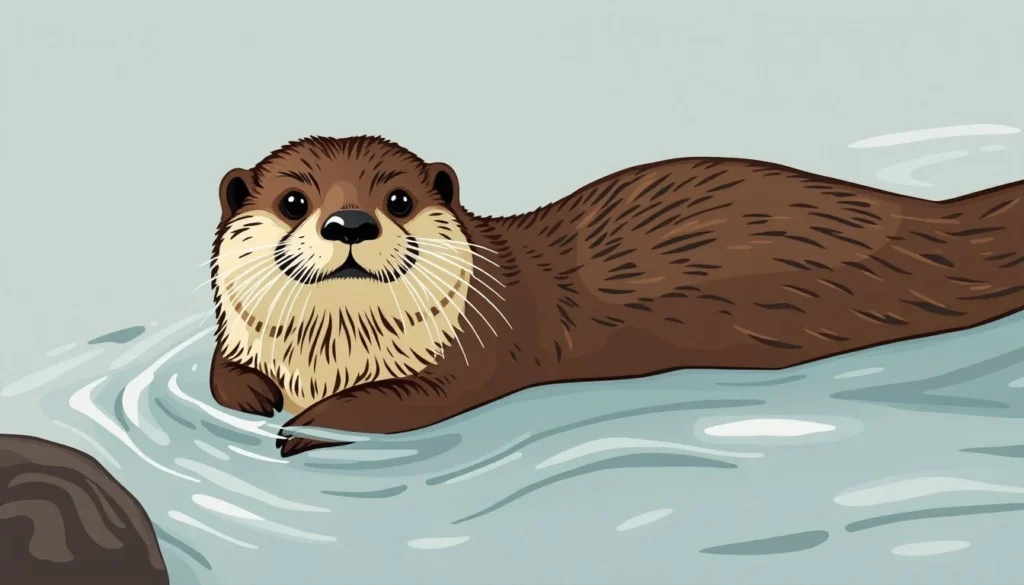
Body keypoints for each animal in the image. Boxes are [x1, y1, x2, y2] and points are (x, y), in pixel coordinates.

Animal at [209, 135, 1024, 457]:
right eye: (293, 200)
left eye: (400, 198)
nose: (351, 221)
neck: (326, 359)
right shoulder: (237, 339)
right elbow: (221, 374)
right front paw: (257, 397)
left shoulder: (470, 354)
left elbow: (398, 404)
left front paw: (307, 426)